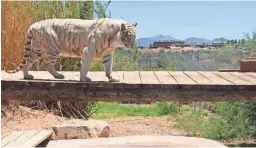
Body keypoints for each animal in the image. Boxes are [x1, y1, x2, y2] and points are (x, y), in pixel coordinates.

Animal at [5, 18, 137, 82]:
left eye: (135, 37)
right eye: (128, 36)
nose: (132, 46)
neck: (114, 38)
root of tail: (33, 25)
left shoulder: (108, 54)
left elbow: (109, 67)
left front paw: (112, 78)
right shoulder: (89, 51)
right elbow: (85, 67)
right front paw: (84, 79)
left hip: (37, 49)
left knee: (27, 62)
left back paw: (27, 76)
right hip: (53, 48)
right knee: (48, 64)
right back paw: (58, 76)